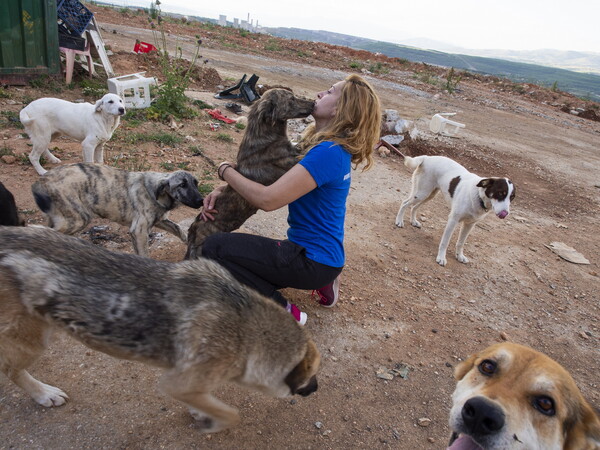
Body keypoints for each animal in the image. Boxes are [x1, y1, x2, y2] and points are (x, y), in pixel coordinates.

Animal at [0, 227, 318, 434]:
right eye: (312, 375)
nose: (315, 390)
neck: (247, 329)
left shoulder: (190, 382)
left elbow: (208, 401)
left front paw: (202, 412)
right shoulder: (177, 383)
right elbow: (231, 415)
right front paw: (211, 424)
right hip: (33, 338)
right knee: (11, 370)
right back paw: (44, 394)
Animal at [32, 163, 204, 256]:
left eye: (196, 183)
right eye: (182, 185)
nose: (201, 201)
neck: (155, 191)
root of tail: (42, 180)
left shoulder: (159, 220)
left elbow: (178, 229)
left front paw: (188, 240)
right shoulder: (139, 230)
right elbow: (144, 254)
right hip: (78, 219)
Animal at [185, 88, 314, 258]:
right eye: (291, 99)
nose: (314, 103)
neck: (267, 136)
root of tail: (192, 231)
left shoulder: (295, 150)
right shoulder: (291, 163)